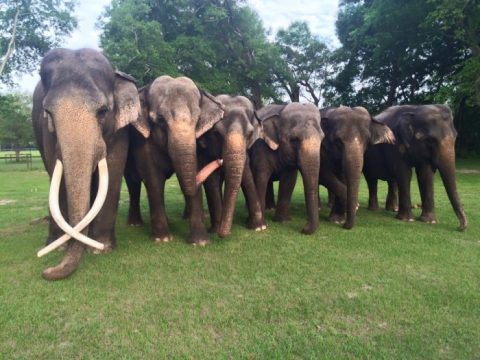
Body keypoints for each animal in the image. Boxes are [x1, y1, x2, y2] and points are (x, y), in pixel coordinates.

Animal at [32, 47, 146, 280]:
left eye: (103, 111)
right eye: (48, 113)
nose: (46, 272)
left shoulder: (120, 130)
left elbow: (112, 173)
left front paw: (101, 248)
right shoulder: (47, 134)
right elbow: (57, 177)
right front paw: (63, 247)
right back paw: (54, 242)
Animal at [126, 75, 226, 245]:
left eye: (198, 119)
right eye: (160, 119)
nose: (220, 161)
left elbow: (193, 174)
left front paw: (200, 242)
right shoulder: (143, 142)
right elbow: (153, 179)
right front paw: (162, 239)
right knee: (133, 182)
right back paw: (134, 224)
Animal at [198, 94, 266, 238]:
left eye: (250, 134)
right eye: (216, 133)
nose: (223, 234)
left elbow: (247, 176)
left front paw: (259, 227)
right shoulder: (206, 151)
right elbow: (212, 181)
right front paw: (215, 230)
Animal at [249, 102, 324, 235]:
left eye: (322, 138)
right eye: (294, 140)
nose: (304, 228)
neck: (280, 110)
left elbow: (289, 180)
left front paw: (282, 221)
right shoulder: (260, 147)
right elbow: (260, 177)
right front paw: (261, 226)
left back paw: (270, 208)